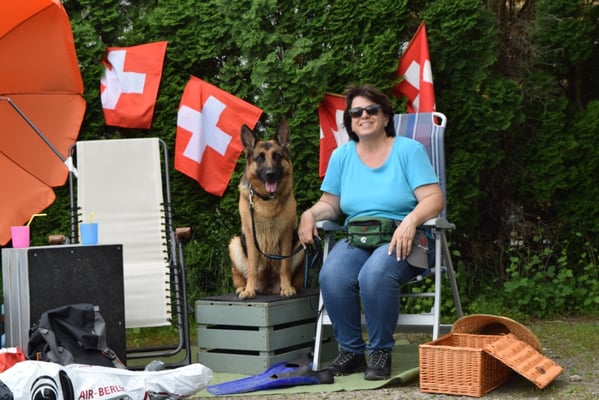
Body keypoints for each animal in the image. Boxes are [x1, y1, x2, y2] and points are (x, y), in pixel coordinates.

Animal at [228, 120, 305, 299]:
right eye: (260, 158)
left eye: (276, 156)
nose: (270, 174)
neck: (267, 201)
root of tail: (268, 288)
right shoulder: (251, 237)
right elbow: (252, 267)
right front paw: (249, 290)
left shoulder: (286, 235)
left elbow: (284, 266)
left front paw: (286, 287)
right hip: (235, 244)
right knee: (244, 275)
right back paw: (245, 287)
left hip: (299, 245)